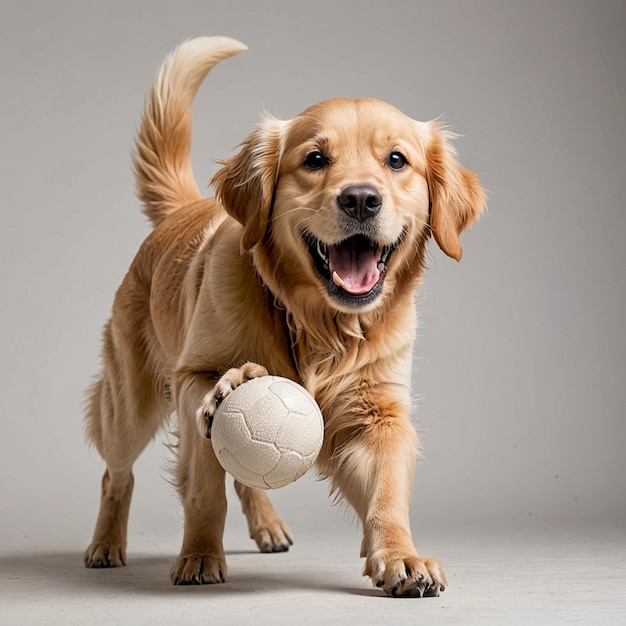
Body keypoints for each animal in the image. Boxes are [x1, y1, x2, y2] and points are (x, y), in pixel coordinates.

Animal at [83, 35, 482, 596]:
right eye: (314, 159)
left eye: (397, 160)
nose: (361, 199)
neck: (317, 323)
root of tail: (181, 211)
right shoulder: (192, 376)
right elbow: (205, 488)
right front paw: (199, 555)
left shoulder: (377, 413)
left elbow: (386, 493)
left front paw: (402, 558)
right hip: (130, 406)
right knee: (116, 474)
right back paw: (105, 544)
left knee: (243, 477)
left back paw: (268, 524)